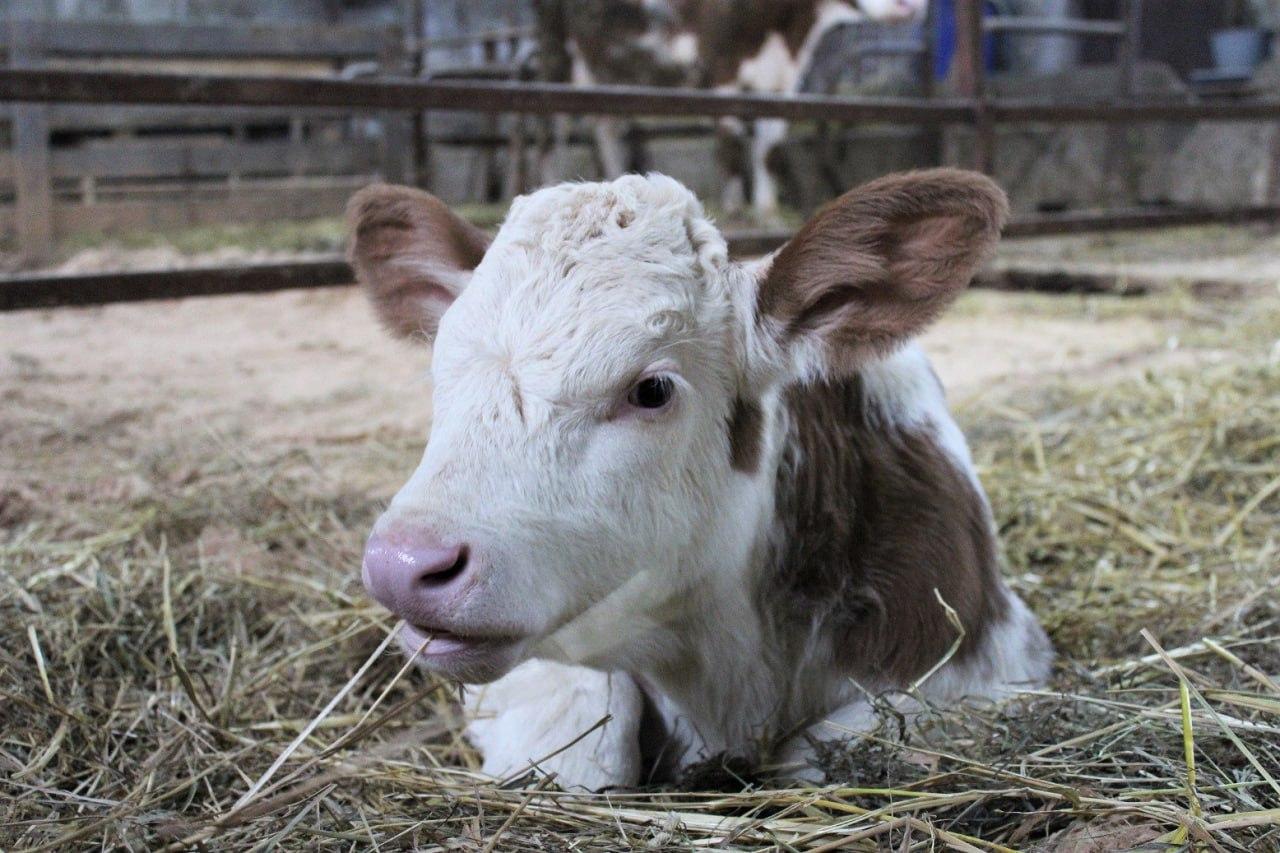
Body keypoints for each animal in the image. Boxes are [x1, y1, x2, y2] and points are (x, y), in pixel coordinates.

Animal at [350, 168, 1053, 789]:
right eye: (439, 367)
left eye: (652, 389)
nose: (404, 562)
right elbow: (587, 742)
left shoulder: (991, 662)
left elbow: (814, 752)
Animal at [536, 0, 928, 220]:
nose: (910, 7)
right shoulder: (723, 71)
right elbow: (731, 147)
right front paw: (735, 209)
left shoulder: (781, 84)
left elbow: (768, 152)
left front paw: (767, 212)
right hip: (556, 55)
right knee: (550, 135)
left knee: (605, 130)